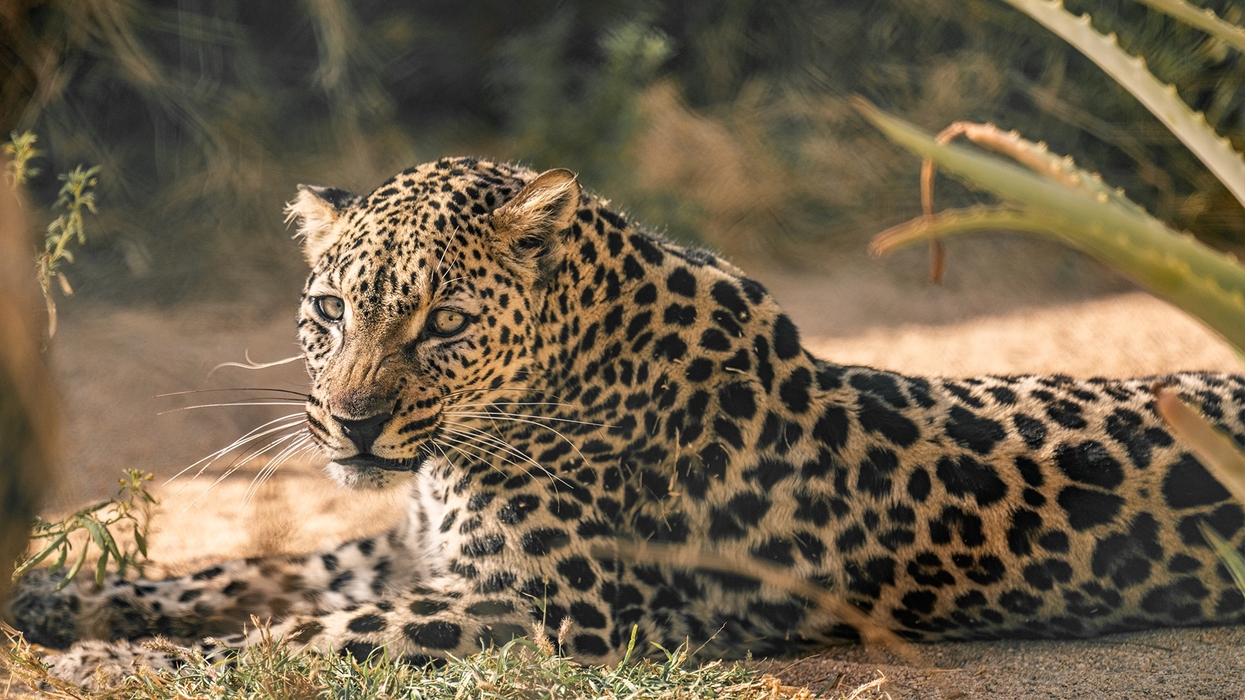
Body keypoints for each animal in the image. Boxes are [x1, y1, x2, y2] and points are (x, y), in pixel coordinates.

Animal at [9, 156, 1245, 686]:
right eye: (329, 313)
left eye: (443, 320)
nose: (351, 427)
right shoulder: (409, 547)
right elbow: (237, 575)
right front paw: (51, 601)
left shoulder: (548, 614)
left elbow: (291, 637)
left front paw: (108, 667)